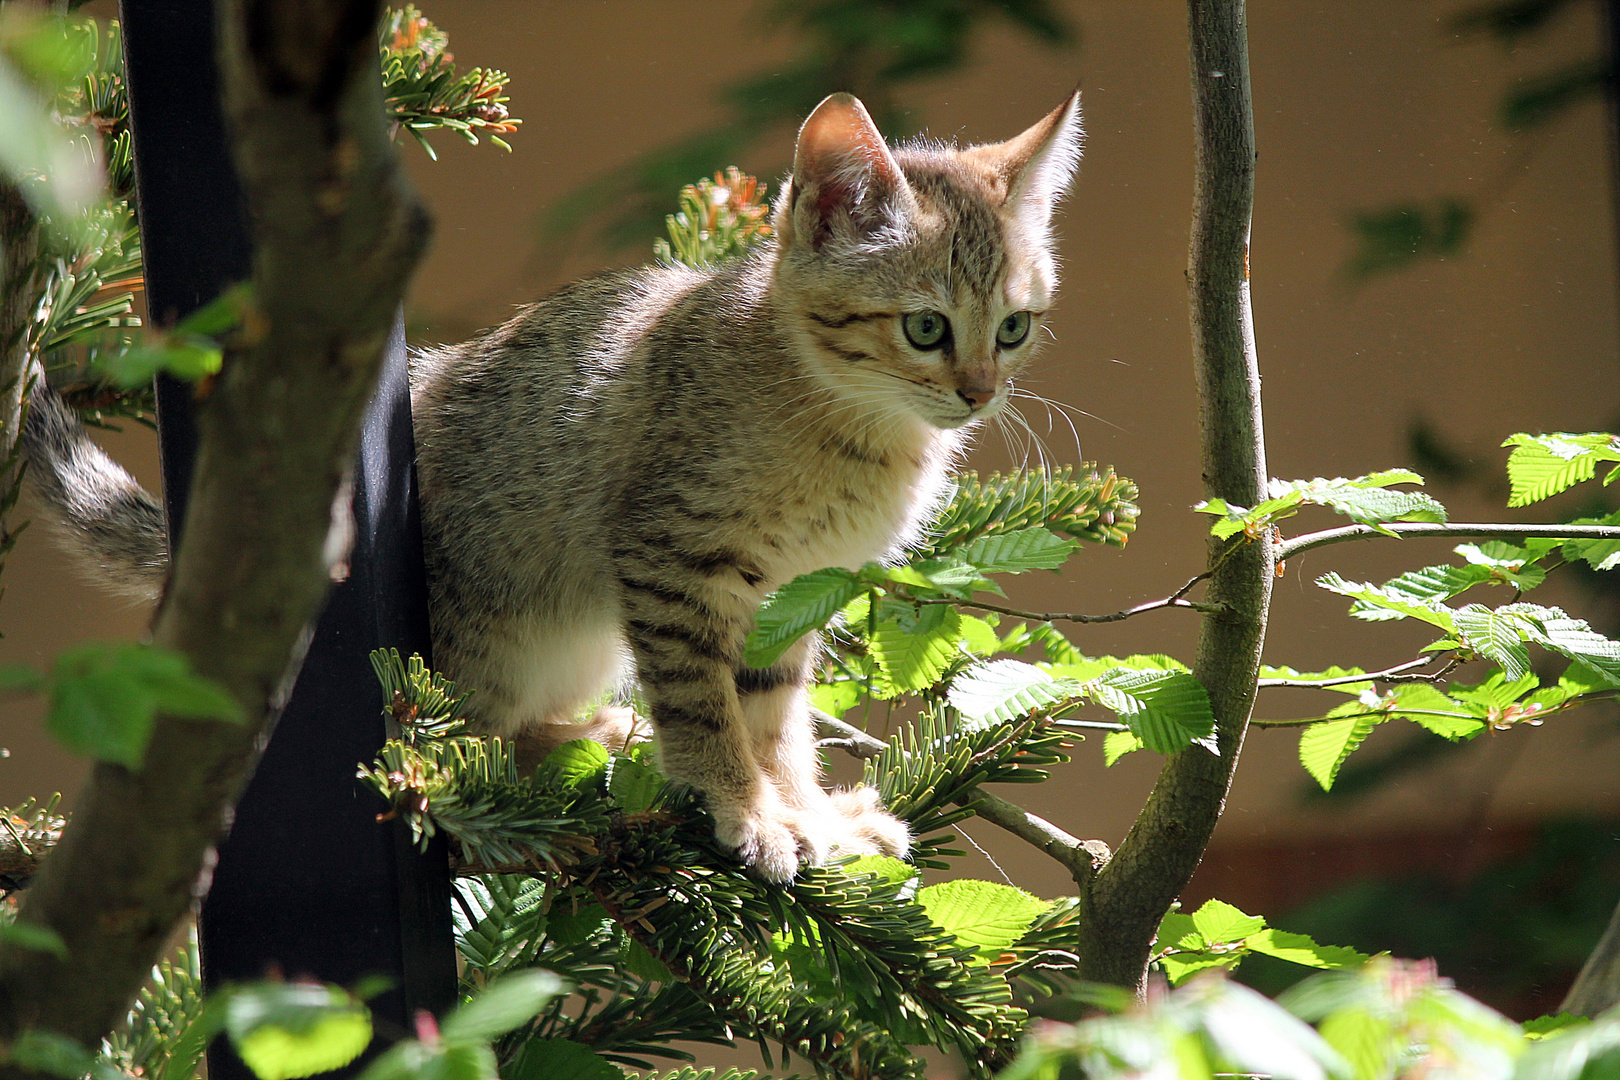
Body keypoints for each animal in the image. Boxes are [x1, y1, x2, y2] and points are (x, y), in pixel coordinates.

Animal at [22, 90, 1075, 887]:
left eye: (1013, 328)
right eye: (927, 328)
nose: (980, 392)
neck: (853, 427)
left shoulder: (797, 595)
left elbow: (774, 714)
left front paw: (809, 812)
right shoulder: (672, 554)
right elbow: (707, 703)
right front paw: (744, 808)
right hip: (484, 636)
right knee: (452, 762)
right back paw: (574, 764)